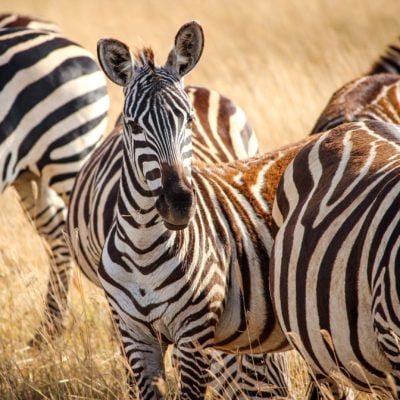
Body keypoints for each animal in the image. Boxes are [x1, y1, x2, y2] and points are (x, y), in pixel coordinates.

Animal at [66, 22, 294, 400]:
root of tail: (199, 87)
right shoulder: (134, 332)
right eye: (133, 126)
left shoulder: (193, 332)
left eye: (187, 121)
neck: (143, 246)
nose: (178, 204)